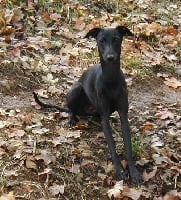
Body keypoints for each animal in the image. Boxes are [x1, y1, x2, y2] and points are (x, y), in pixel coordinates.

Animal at [33, 26, 142, 184]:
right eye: (101, 40)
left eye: (116, 39)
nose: (110, 57)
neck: (111, 79)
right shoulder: (104, 117)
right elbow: (112, 147)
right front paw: (119, 171)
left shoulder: (123, 114)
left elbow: (128, 146)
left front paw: (134, 172)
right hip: (76, 89)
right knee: (71, 109)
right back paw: (72, 118)